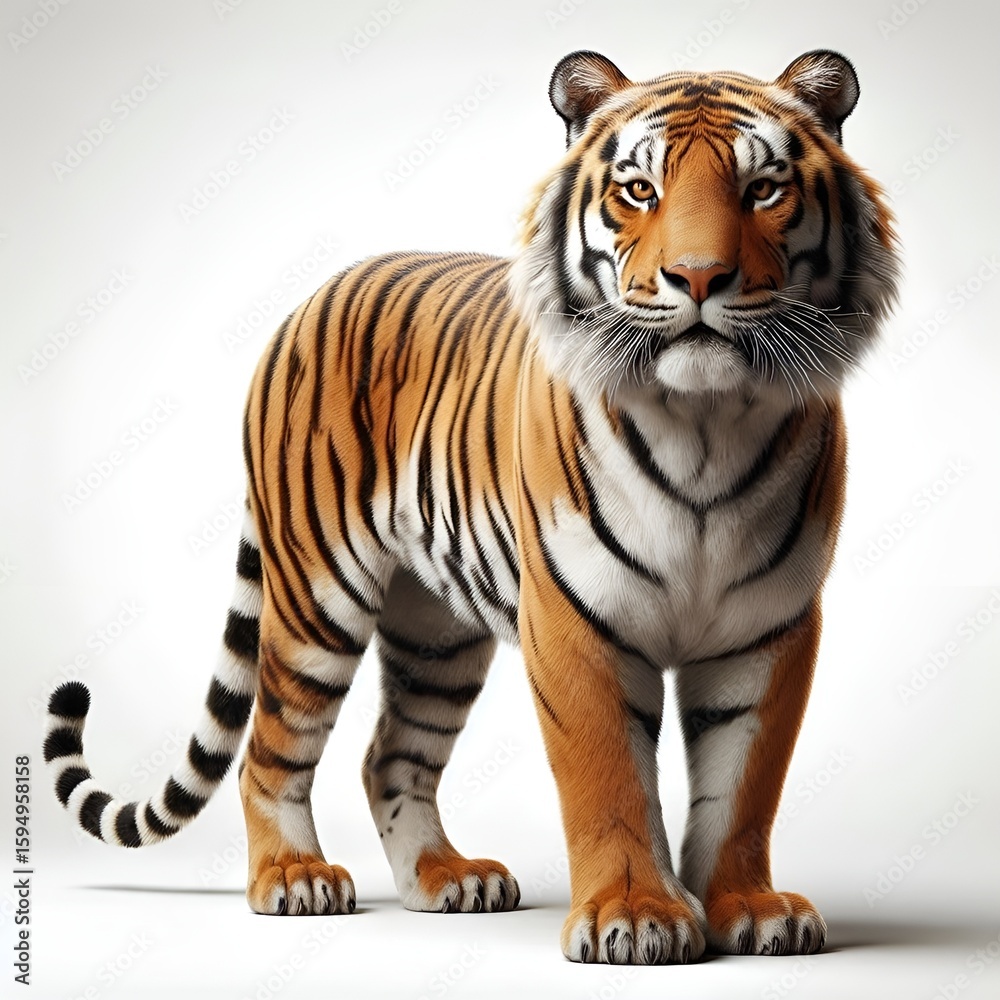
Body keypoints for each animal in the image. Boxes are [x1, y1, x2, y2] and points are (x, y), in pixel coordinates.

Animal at [45, 48, 899, 965]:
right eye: (639, 190)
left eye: (763, 189)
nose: (699, 276)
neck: (704, 423)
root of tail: (311, 298)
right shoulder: (575, 619)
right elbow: (607, 779)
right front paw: (635, 914)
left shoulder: (770, 628)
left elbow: (744, 787)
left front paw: (748, 907)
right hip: (315, 600)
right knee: (269, 750)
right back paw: (294, 878)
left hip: (436, 635)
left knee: (390, 756)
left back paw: (444, 879)